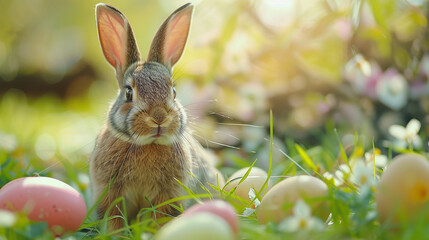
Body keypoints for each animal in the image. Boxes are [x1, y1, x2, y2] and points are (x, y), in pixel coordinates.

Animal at [90, 1, 224, 231]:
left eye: (174, 92)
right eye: (129, 93)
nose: (159, 117)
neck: (147, 144)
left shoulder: (169, 195)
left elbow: (161, 217)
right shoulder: (110, 193)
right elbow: (114, 219)